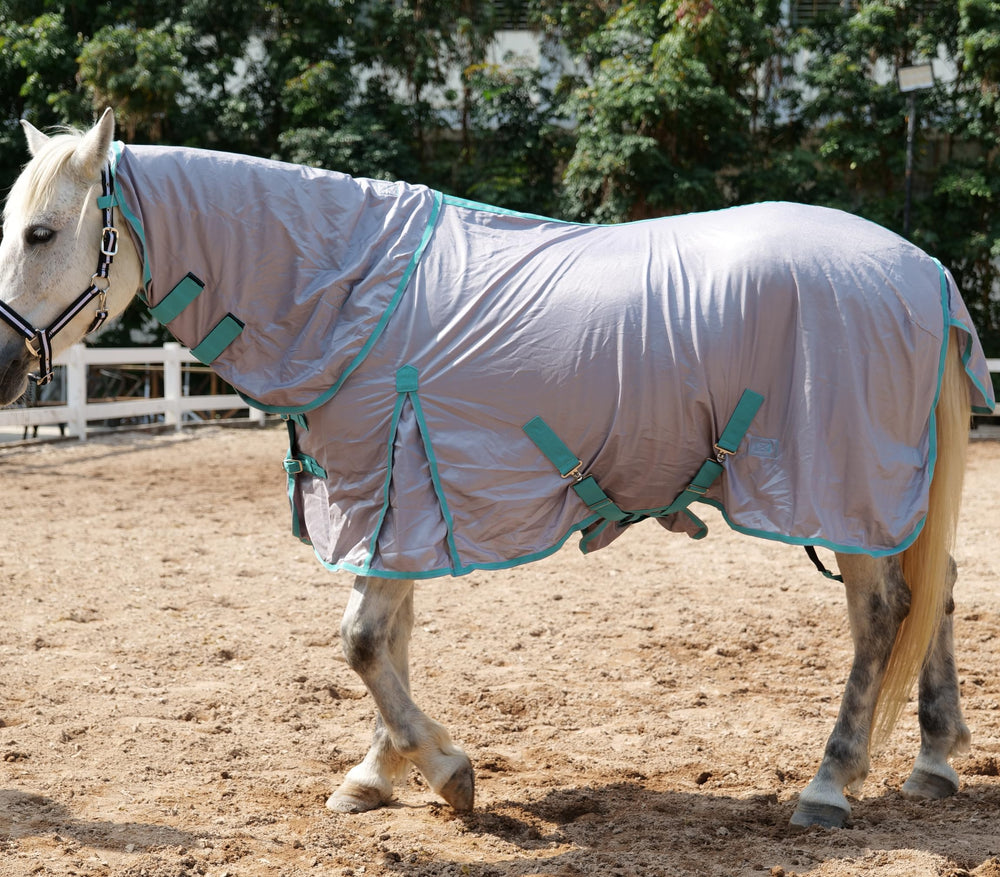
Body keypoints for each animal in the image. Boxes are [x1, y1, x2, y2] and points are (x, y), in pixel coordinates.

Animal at [0, 109, 994, 830]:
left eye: (42, 232)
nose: (4, 365)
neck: (357, 291)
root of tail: (924, 271)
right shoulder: (400, 500)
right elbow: (389, 639)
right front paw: (376, 773)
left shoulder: (393, 488)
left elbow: (363, 641)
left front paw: (447, 772)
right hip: (883, 498)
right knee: (936, 586)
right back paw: (934, 759)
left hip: (843, 489)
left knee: (883, 614)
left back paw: (829, 782)